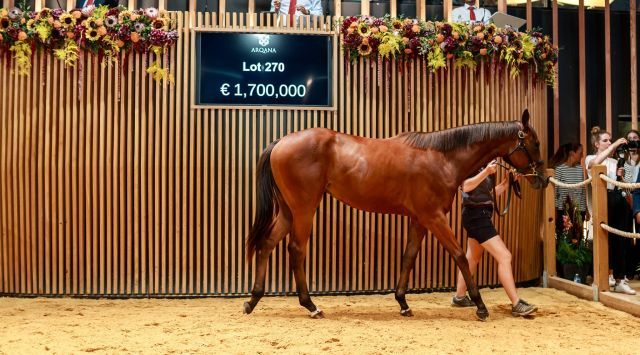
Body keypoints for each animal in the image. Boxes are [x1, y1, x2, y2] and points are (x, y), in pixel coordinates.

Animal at [244, 110, 544, 322]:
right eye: (535, 143)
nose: (541, 178)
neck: (441, 158)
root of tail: (281, 142)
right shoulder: (434, 217)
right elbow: (459, 255)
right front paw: (480, 306)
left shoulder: (419, 219)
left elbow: (408, 257)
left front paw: (403, 303)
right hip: (304, 208)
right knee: (296, 250)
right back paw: (311, 306)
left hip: (288, 210)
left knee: (267, 244)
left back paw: (253, 300)